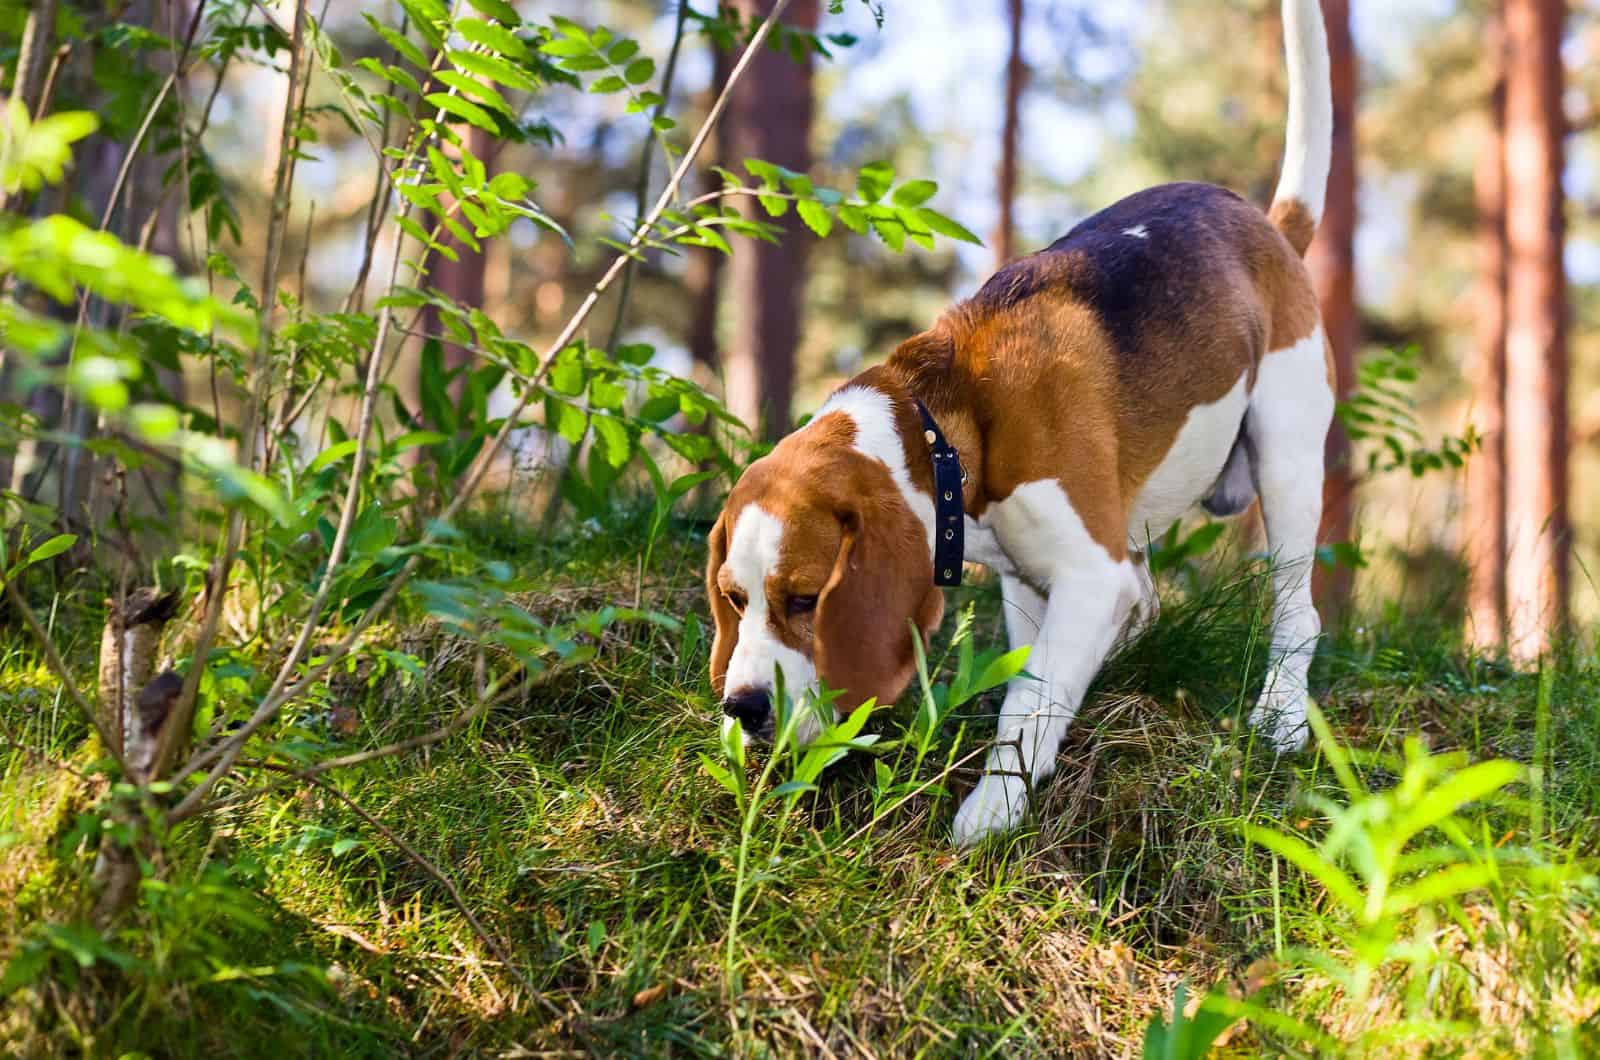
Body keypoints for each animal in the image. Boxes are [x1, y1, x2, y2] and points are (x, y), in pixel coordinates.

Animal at [707, 0, 1331, 845]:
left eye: (806, 600)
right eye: (735, 600)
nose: (741, 707)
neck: (948, 427)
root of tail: (1268, 226)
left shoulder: (1087, 572)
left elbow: (1027, 703)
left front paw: (993, 808)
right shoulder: (1031, 584)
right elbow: (1035, 679)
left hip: (1288, 459)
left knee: (1299, 608)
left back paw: (1281, 715)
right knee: (1149, 600)